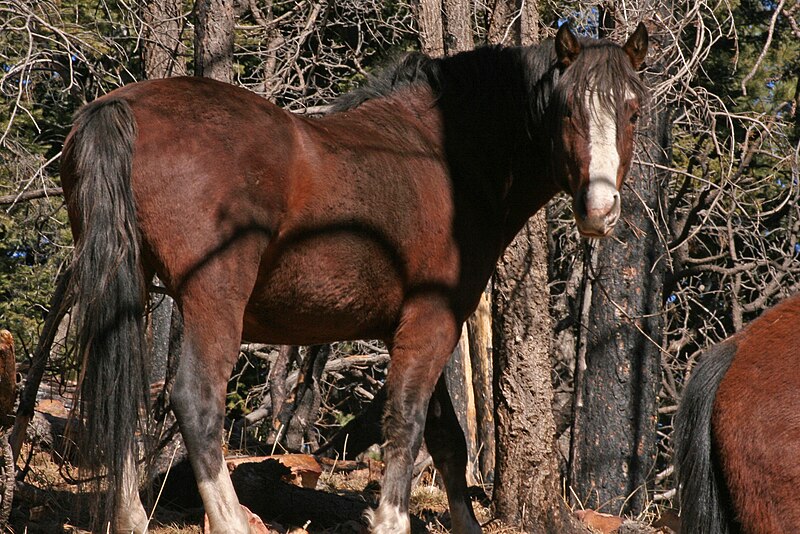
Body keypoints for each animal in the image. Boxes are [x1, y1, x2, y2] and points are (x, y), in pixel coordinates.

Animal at [62, 23, 648, 534]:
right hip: (214, 297)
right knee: (195, 400)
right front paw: (391, 522)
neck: (450, 156)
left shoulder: (415, 325)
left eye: (633, 111)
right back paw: (229, 522)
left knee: (121, 389)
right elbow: (407, 422)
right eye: (566, 109)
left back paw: (130, 518)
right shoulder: (432, 319)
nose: (599, 210)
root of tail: (120, 106)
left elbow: (446, 437)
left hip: (131, 287)